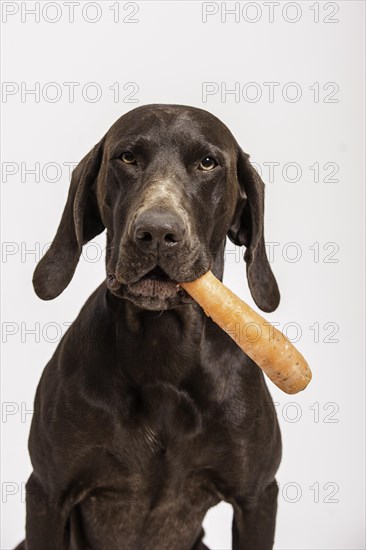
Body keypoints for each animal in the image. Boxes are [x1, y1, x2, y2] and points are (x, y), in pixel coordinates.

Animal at [15, 104, 280, 550]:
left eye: (207, 163)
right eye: (127, 157)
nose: (157, 232)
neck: (163, 353)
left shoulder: (258, 496)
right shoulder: (48, 494)